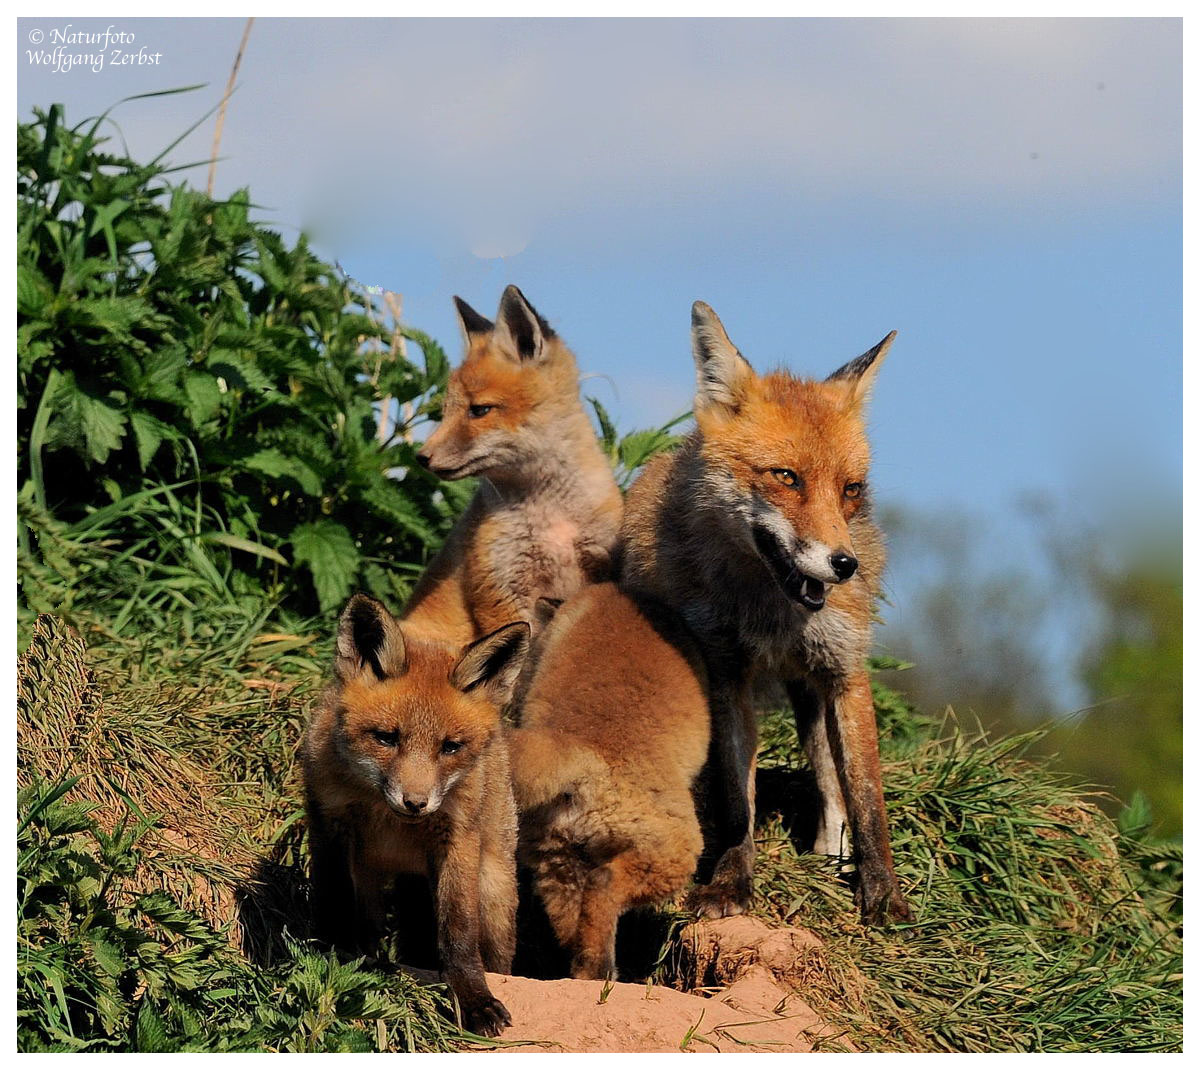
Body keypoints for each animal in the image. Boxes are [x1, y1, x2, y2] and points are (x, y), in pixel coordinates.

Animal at [300, 592, 530, 1036]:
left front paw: (473, 999)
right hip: (370, 878)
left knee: (497, 954)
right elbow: (335, 898)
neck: (387, 816)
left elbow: (458, 931)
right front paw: (332, 958)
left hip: (494, 893)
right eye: (386, 738)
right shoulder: (330, 824)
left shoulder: (457, 838)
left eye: (450, 747)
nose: (416, 802)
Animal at [408, 284, 624, 642]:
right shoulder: (500, 587)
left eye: (479, 410)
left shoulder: (601, 562)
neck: (553, 518)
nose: (422, 457)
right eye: (445, 412)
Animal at [506, 580, 710, 983]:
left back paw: (591, 976)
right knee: (605, 886)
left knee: (577, 928)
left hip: (557, 862)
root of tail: (578, 748)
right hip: (674, 851)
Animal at [619, 301, 907, 926]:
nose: (844, 564)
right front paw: (731, 881)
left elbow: (867, 797)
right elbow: (737, 801)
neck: (771, 612)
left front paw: (883, 893)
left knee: (829, 781)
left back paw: (833, 858)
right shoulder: (725, 671)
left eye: (850, 489)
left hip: (814, 688)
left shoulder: (845, 671)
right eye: (786, 477)